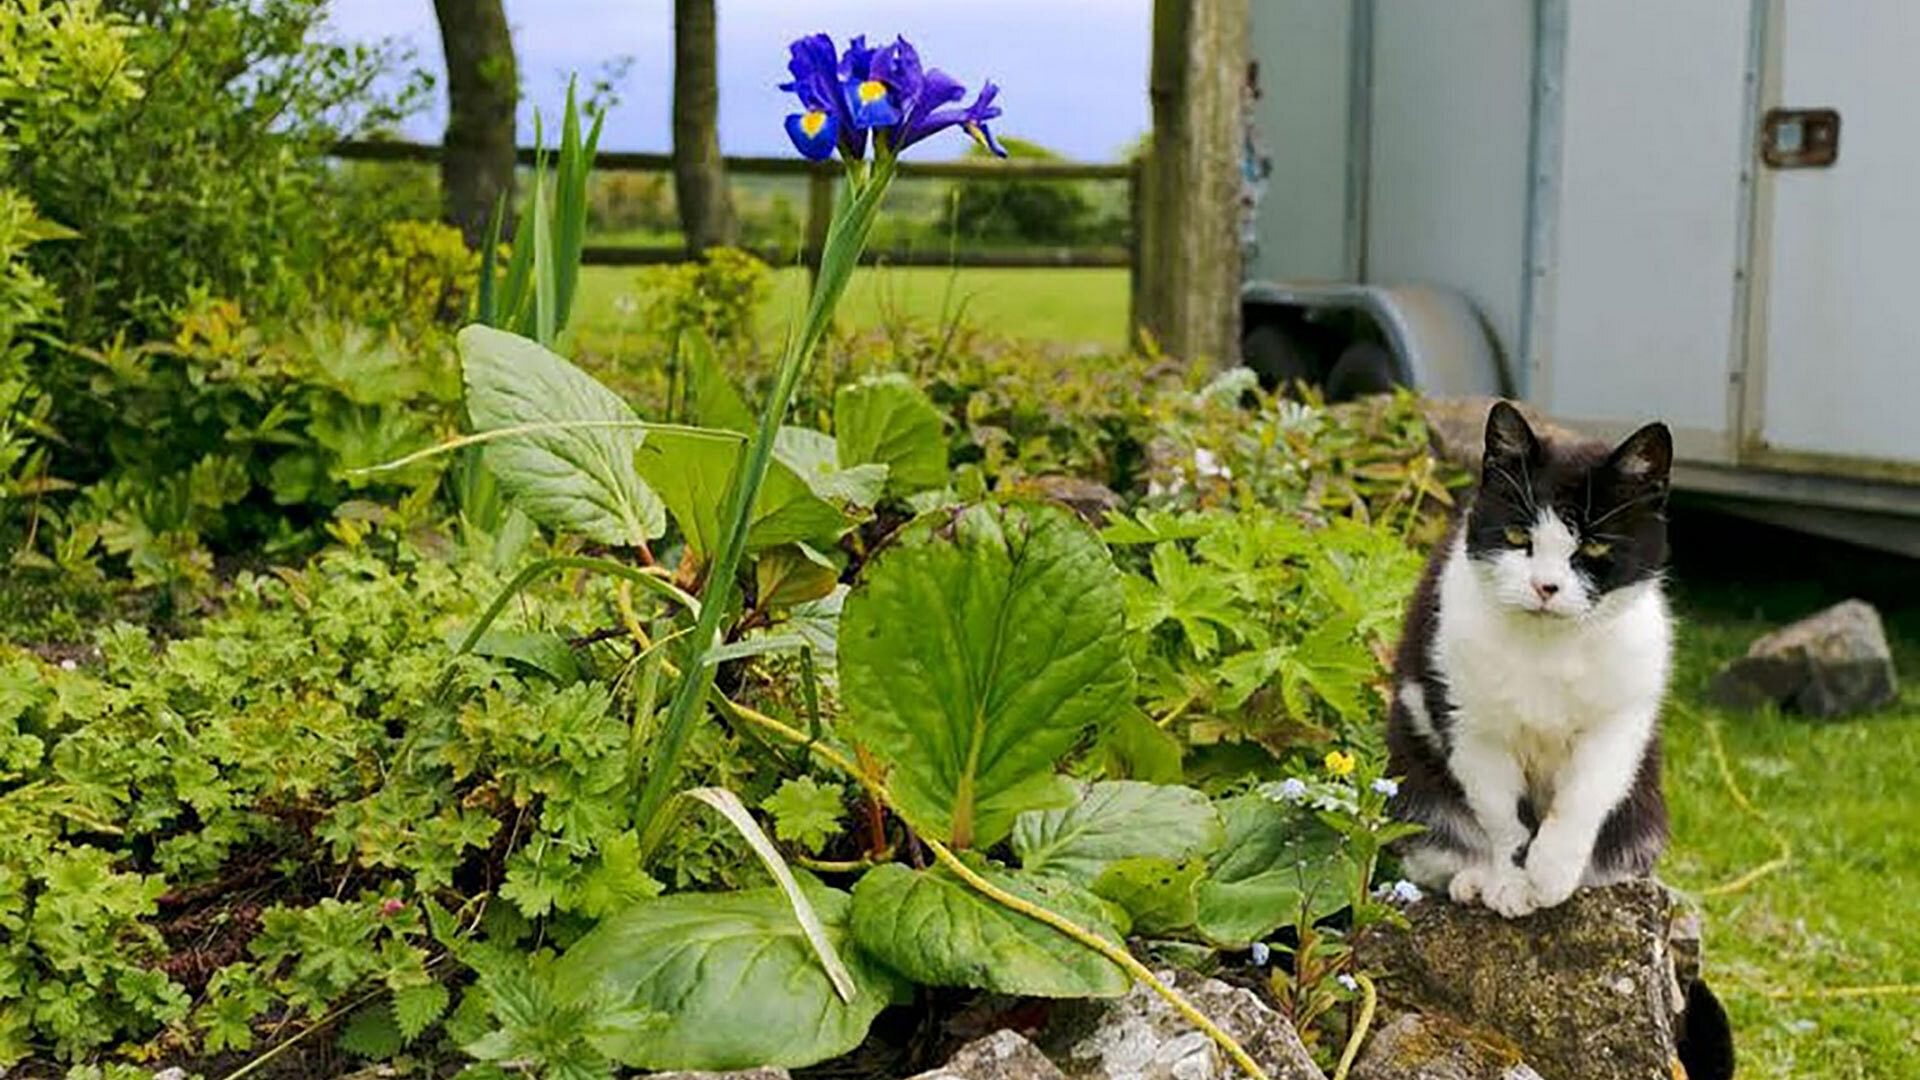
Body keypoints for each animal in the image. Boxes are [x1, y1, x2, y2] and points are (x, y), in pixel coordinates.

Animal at [1390, 399, 1674, 910]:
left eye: (1594, 545)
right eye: (1519, 536)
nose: (1545, 586)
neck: (1548, 648)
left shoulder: (1620, 715)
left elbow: (1585, 794)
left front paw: (1551, 873)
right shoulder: (1468, 720)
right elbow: (1504, 816)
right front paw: (1511, 883)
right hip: (1412, 784)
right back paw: (1473, 879)